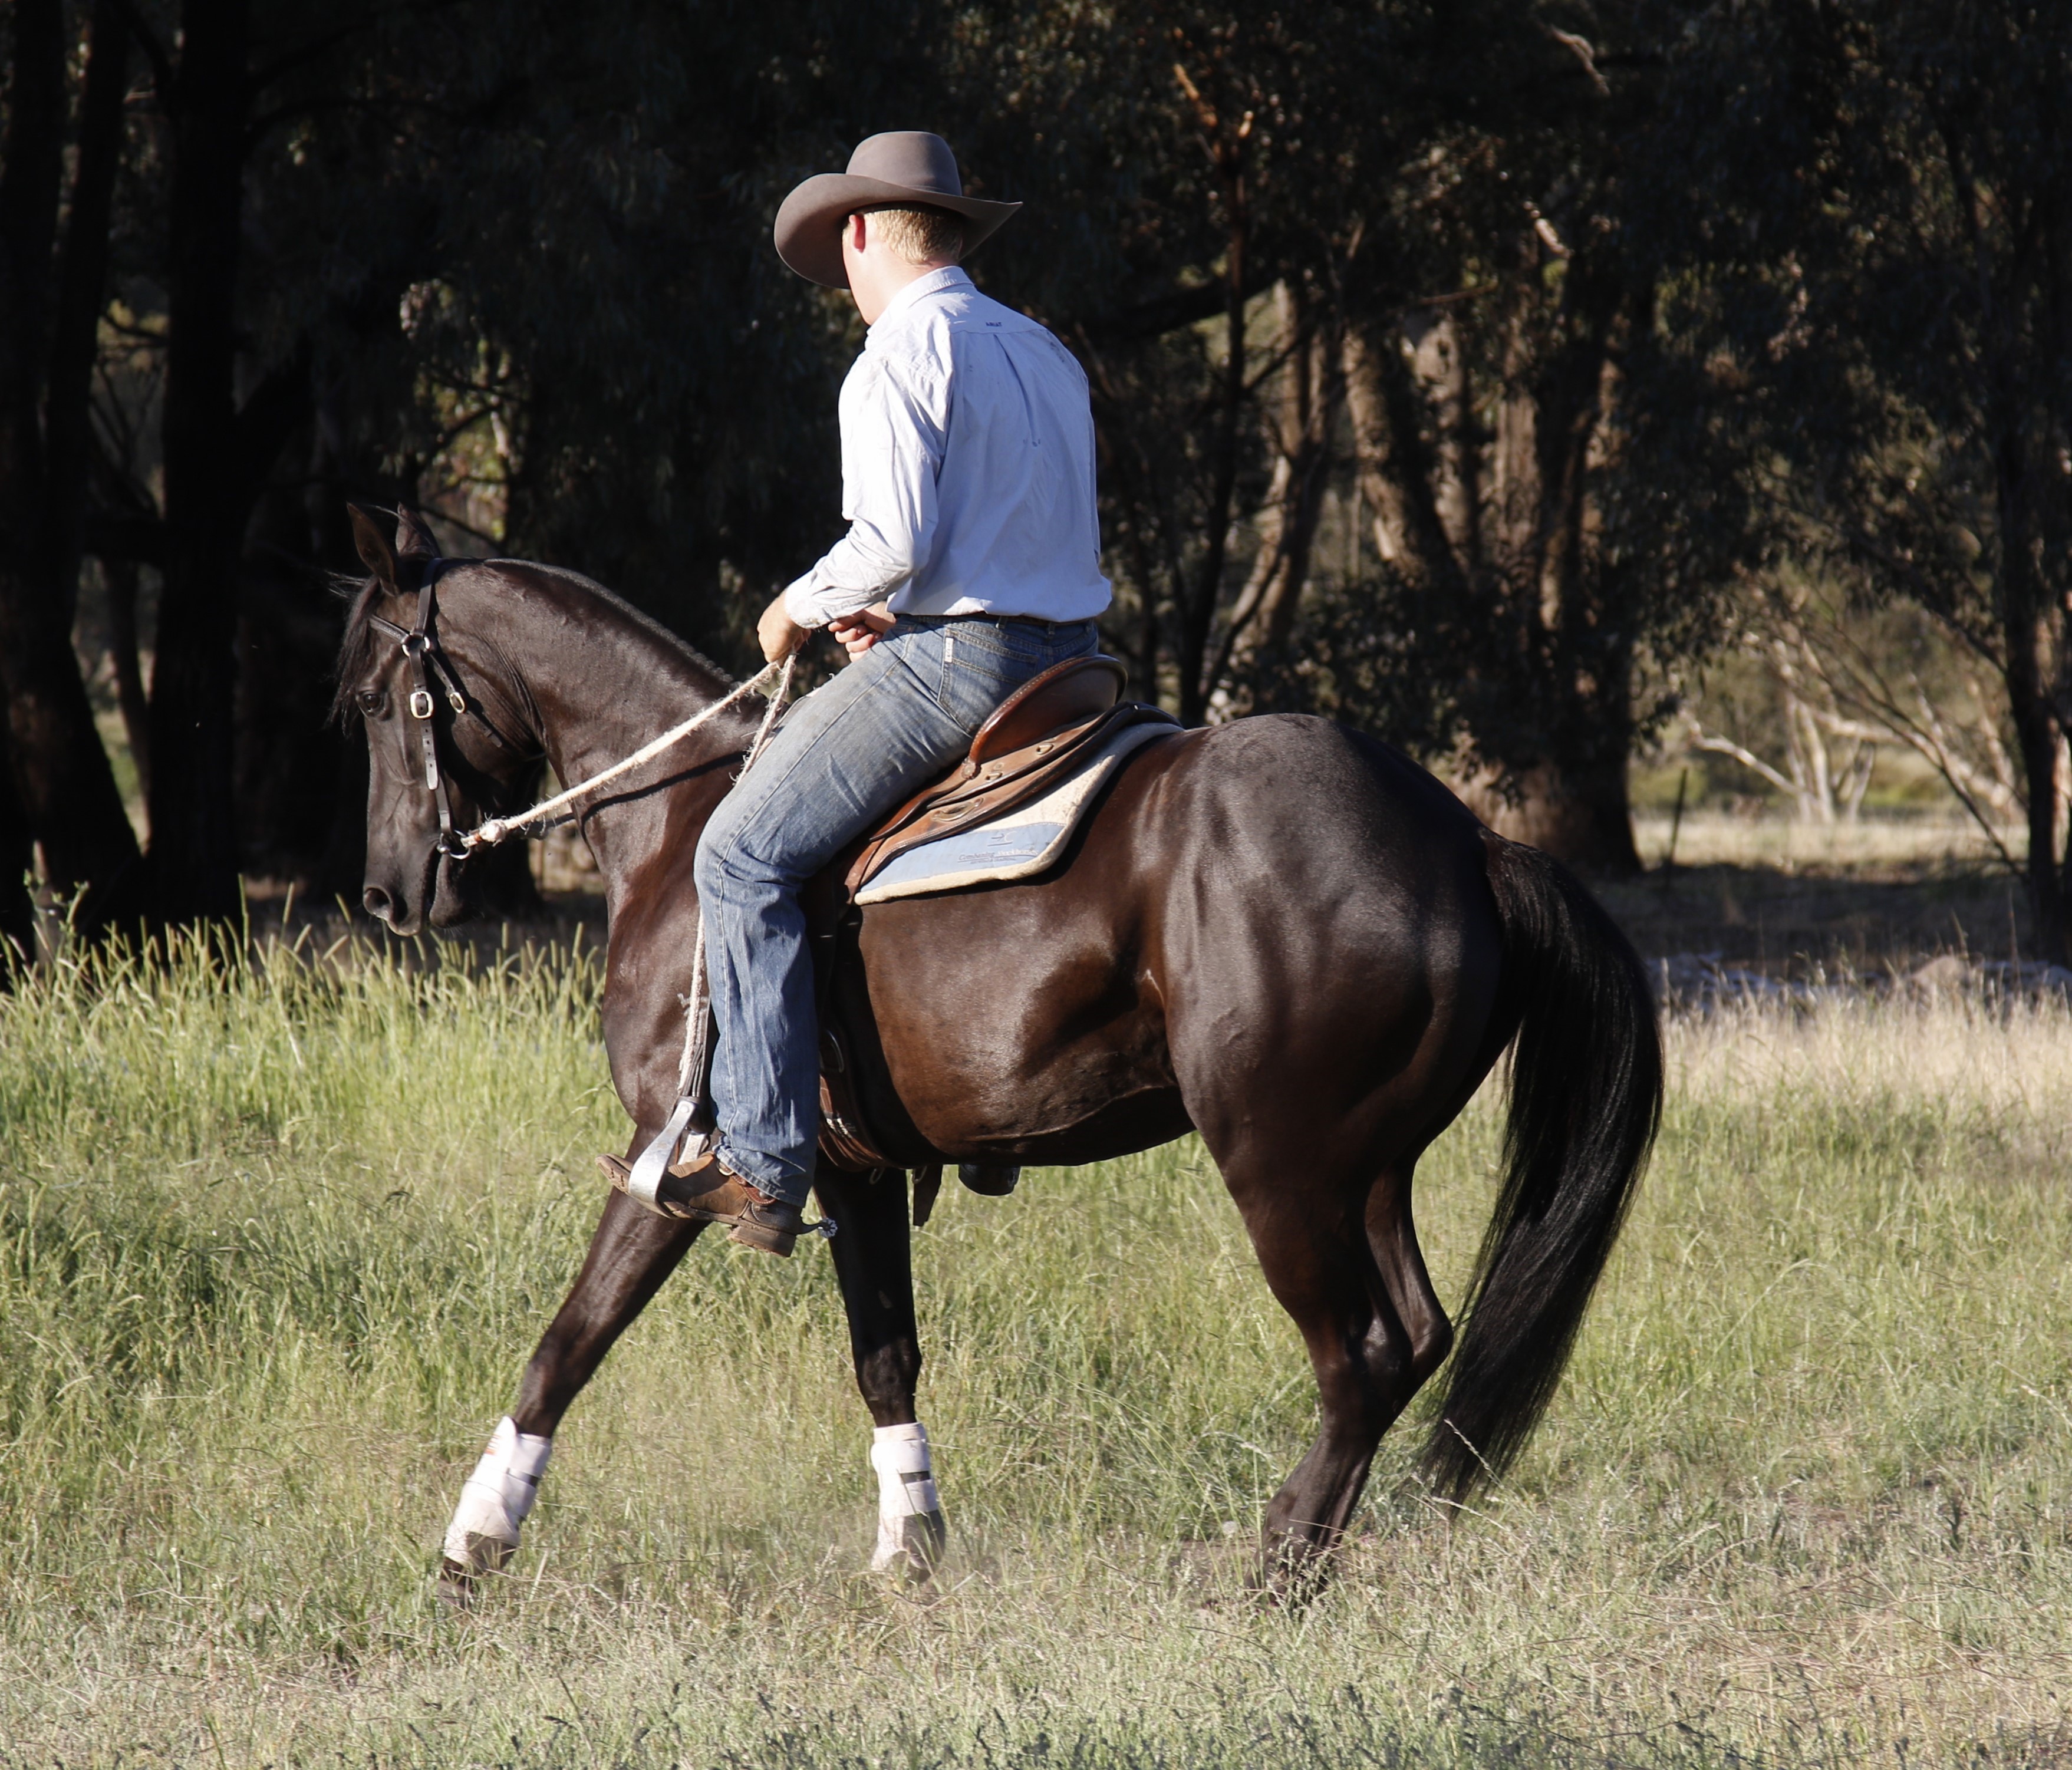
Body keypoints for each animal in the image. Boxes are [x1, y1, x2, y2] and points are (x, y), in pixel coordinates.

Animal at [336, 506, 1662, 1600]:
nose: (390, 891)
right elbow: (885, 1358)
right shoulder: (859, 1170)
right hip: (1367, 1168)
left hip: (1279, 1167)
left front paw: (472, 1542)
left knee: (1362, 1353)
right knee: (1418, 1333)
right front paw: (909, 1547)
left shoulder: (670, 1155)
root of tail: (1465, 839)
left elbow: (567, 1342)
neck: (678, 821)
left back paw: (1279, 1563)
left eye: (372, 699)